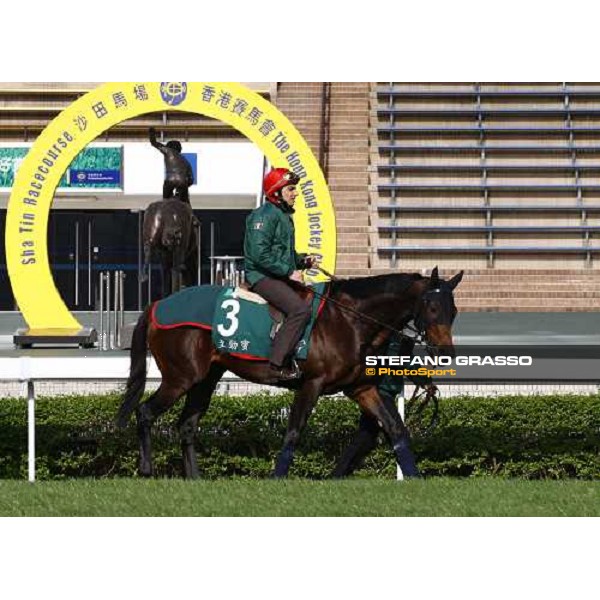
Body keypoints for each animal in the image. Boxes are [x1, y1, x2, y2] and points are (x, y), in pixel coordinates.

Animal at [117, 268, 464, 478]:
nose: (445, 353)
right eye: (433, 308)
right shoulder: (311, 384)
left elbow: (395, 429)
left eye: (454, 310)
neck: (349, 319)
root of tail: (158, 304)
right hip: (181, 378)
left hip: (206, 378)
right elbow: (294, 432)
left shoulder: (361, 388)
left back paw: (195, 478)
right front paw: (277, 477)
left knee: (187, 426)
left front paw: (415, 478)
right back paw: (146, 468)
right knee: (145, 412)